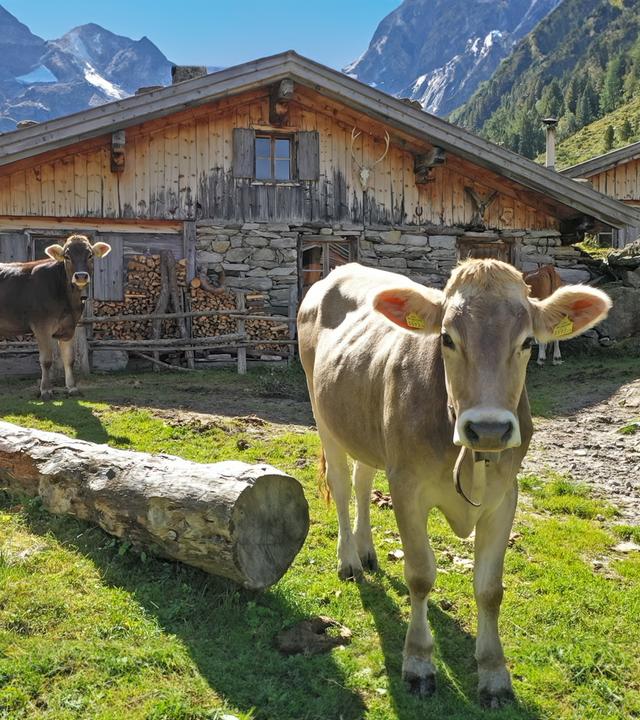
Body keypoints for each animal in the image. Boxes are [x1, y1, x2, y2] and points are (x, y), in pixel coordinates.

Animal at [0, 234, 111, 399]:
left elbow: (69, 359)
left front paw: (72, 387)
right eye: (67, 256)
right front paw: (46, 390)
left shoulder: (69, 327)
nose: (81, 276)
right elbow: (46, 360)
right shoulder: (41, 326)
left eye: (90, 255)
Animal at [297, 260, 610, 708]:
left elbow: (490, 589)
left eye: (528, 342)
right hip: (324, 417)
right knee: (340, 485)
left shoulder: (505, 496)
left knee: (361, 480)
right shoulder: (407, 488)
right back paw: (350, 560)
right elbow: (420, 575)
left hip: (366, 430)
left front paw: (494, 674)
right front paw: (418, 663)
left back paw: (367, 550)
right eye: (447, 338)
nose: (489, 428)